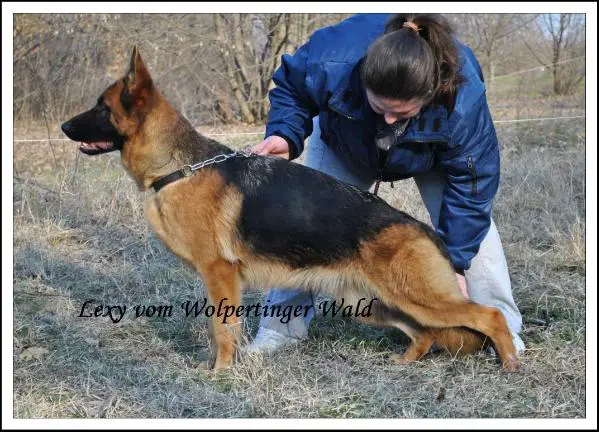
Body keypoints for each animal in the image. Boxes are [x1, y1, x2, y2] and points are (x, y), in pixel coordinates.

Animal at [62, 47, 520, 372]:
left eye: (102, 107)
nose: (64, 126)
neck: (177, 167)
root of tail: (428, 233)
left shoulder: (220, 274)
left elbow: (222, 330)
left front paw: (220, 374)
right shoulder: (215, 279)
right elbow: (217, 328)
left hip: (417, 297)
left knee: (490, 316)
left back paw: (510, 363)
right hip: (370, 302)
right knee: (424, 334)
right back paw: (406, 363)